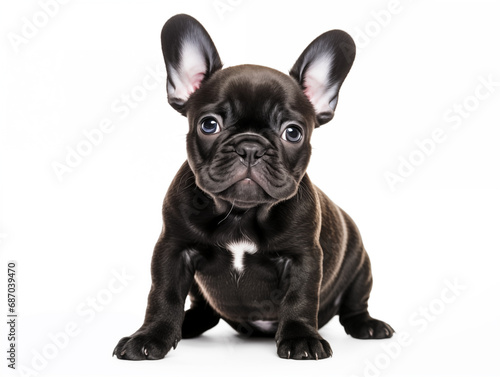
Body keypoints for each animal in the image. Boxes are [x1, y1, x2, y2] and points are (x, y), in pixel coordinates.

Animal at [113, 13, 394, 362]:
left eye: (293, 132)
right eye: (209, 125)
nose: (250, 147)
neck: (240, 213)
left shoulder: (303, 256)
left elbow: (301, 296)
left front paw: (301, 338)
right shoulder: (173, 249)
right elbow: (163, 294)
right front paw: (150, 336)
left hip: (360, 266)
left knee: (355, 305)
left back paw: (368, 325)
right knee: (204, 310)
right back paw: (186, 324)